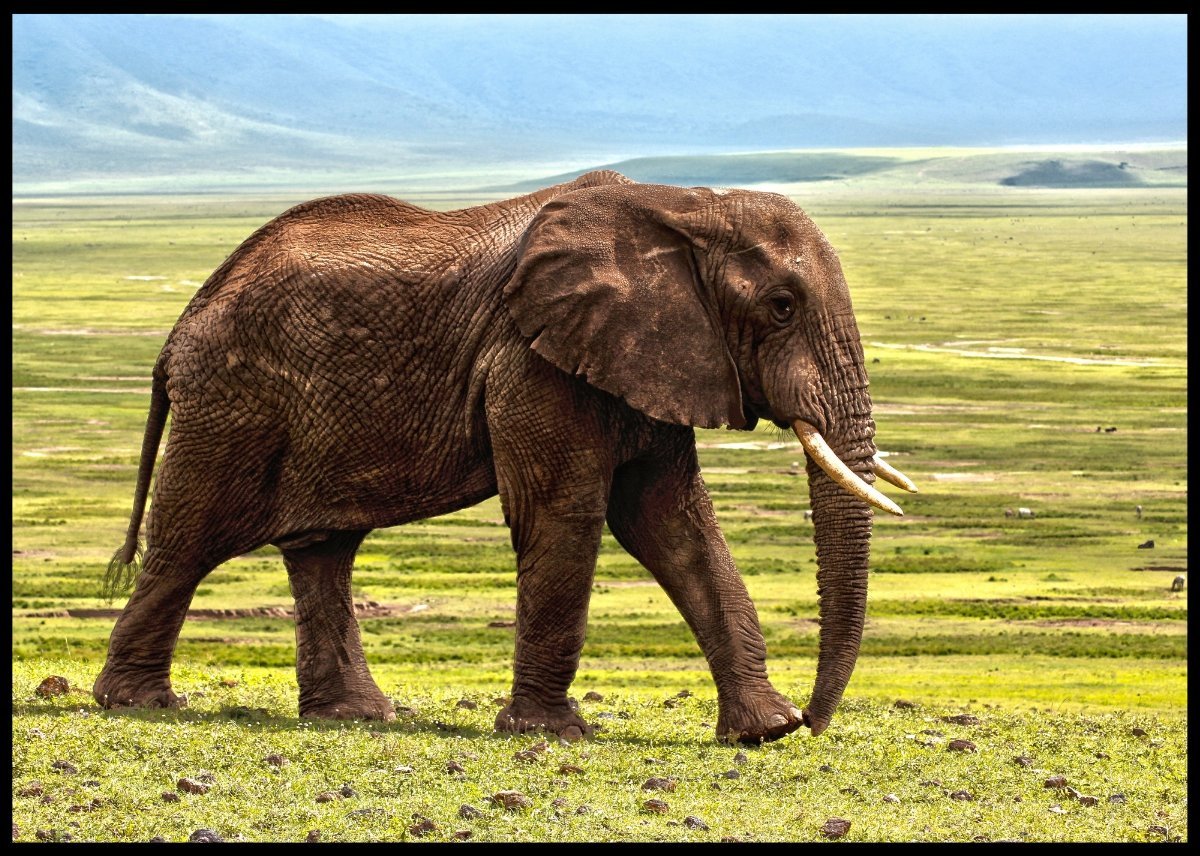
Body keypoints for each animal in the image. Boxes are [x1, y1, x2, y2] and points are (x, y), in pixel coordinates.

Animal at [93, 169, 916, 744]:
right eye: (781, 306)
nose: (814, 721)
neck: (683, 205)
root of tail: (182, 323)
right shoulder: (532, 360)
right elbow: (566, 515)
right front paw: (554, 735)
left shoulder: (649, 358)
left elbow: (673, 524)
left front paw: (762, 733)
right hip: (232, 400)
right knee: (190, 540)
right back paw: (139, 704)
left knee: (322, 549)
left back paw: (355, 717)